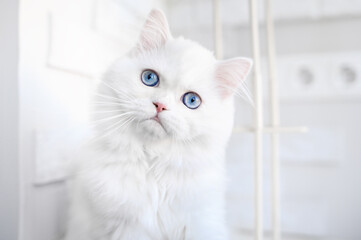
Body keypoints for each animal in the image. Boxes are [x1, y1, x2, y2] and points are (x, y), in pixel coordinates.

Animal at [64, 8, 250, 240]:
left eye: (192, 100)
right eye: (150, 78)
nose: (160, 105)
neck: (153, 167)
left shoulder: (198, 223)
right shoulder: (128, 228)